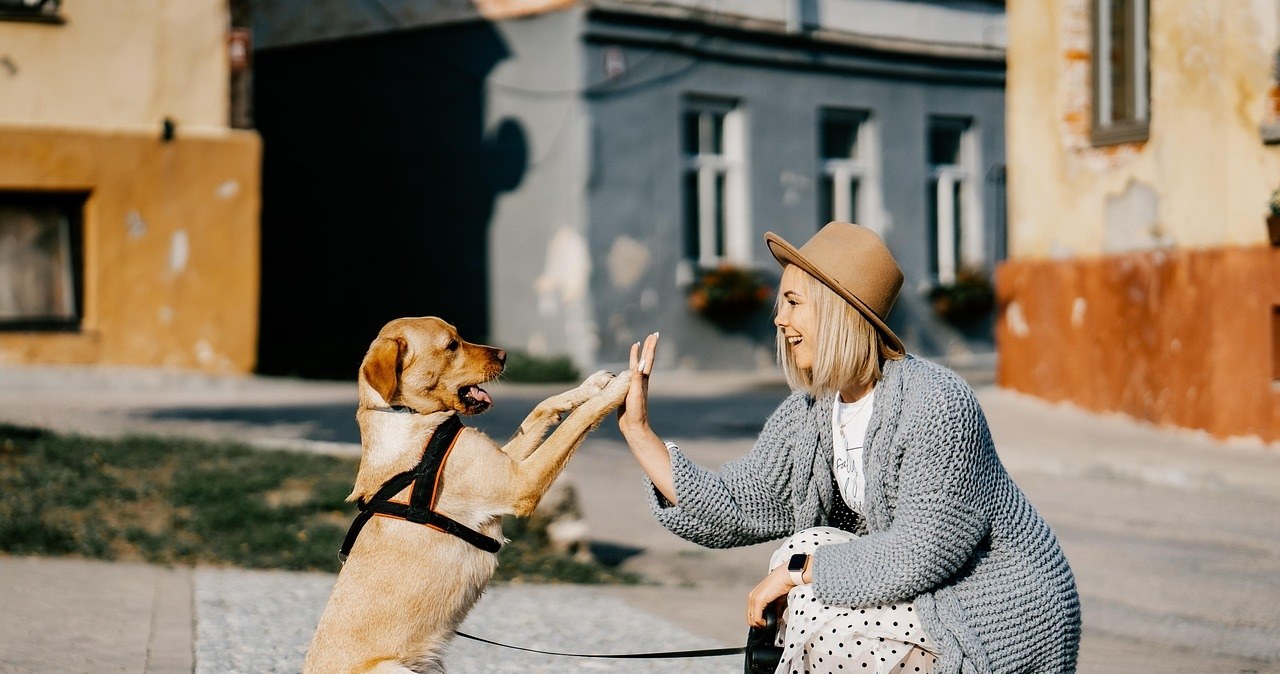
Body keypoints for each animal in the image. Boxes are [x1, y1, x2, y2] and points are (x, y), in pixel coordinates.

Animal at [304, 318, 634, 674]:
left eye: (459, 334)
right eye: (452, 345)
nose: (504, 354)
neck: (408, 416)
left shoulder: (509, 464)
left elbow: (541, 409)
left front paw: (592, 385)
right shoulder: (521, 483)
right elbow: (576, 423)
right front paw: (623, 384)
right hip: (395, 669)